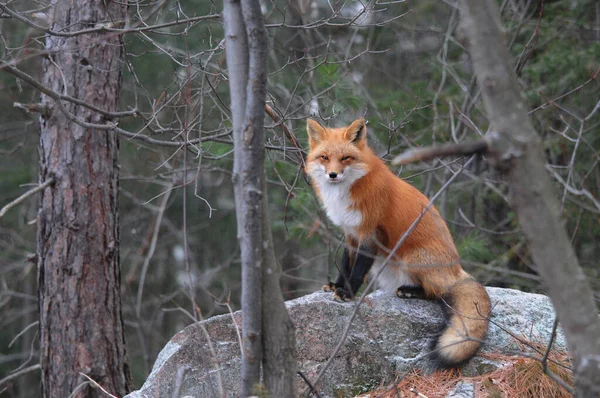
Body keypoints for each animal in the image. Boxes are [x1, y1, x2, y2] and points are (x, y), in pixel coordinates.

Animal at [308, 117, 490, 366]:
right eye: (324, 158)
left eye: (346, 158)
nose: (333, 175)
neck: (346, 194)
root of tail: (457, 270)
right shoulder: (350, 232)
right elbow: (346, 263)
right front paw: (337, 285)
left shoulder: (370, 234)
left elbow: (358, 270)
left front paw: (348, 293)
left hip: (413, 258)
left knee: (437, 293)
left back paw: (411, 291)